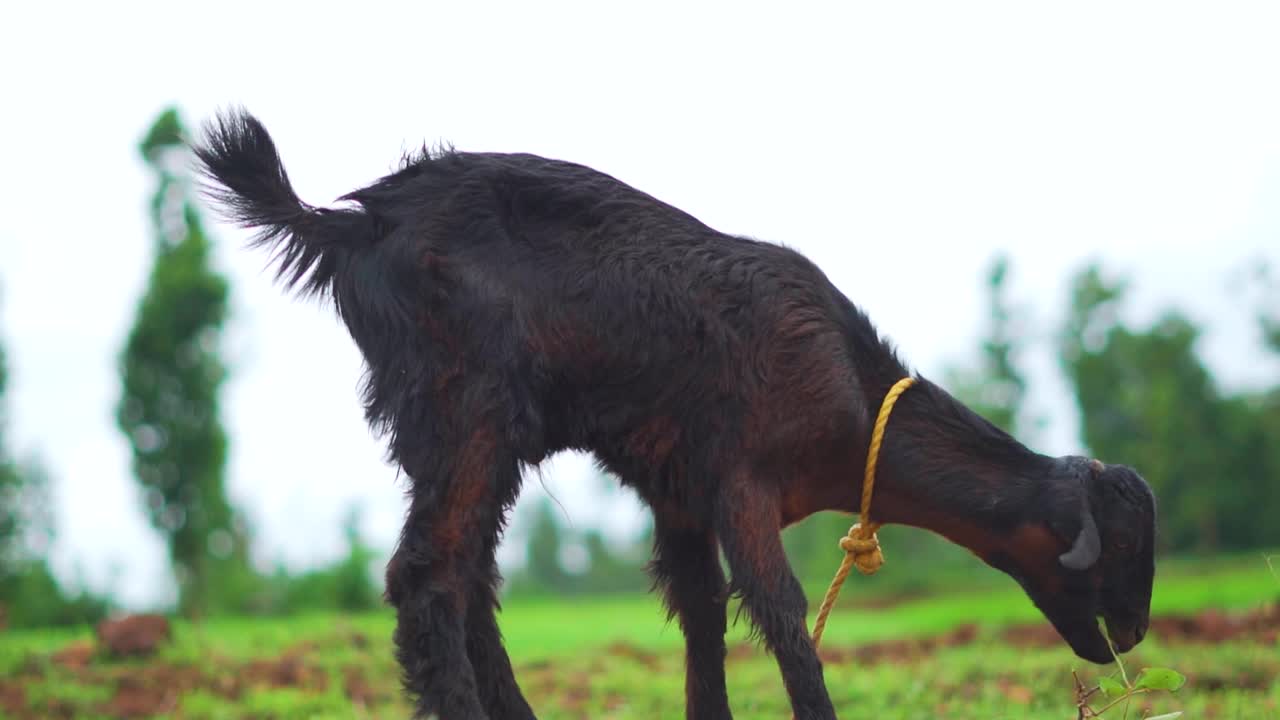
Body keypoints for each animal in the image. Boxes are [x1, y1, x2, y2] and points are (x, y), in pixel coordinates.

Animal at [192, 107, 1162, 717]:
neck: (851, 395)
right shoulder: (742, 479)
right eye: (1114, 549)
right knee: (428, 574)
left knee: (470, 577)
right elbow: (781, 615)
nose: (1131, 638)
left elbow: (701, 614)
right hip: (467, 406)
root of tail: (353, 223)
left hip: (464, 429)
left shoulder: (680, 493)